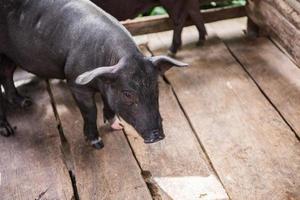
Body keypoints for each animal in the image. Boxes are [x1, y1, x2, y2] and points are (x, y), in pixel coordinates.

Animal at [0, 0, 188, 148]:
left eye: (156, 88)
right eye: (128, 94)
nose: (157, 136)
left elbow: (109, 103)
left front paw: (117, 126)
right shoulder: (75, 83)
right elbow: (90, 111)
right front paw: (97, 143)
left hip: (10, 56)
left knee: (7, 73)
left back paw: (25, 102)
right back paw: (7, 131)